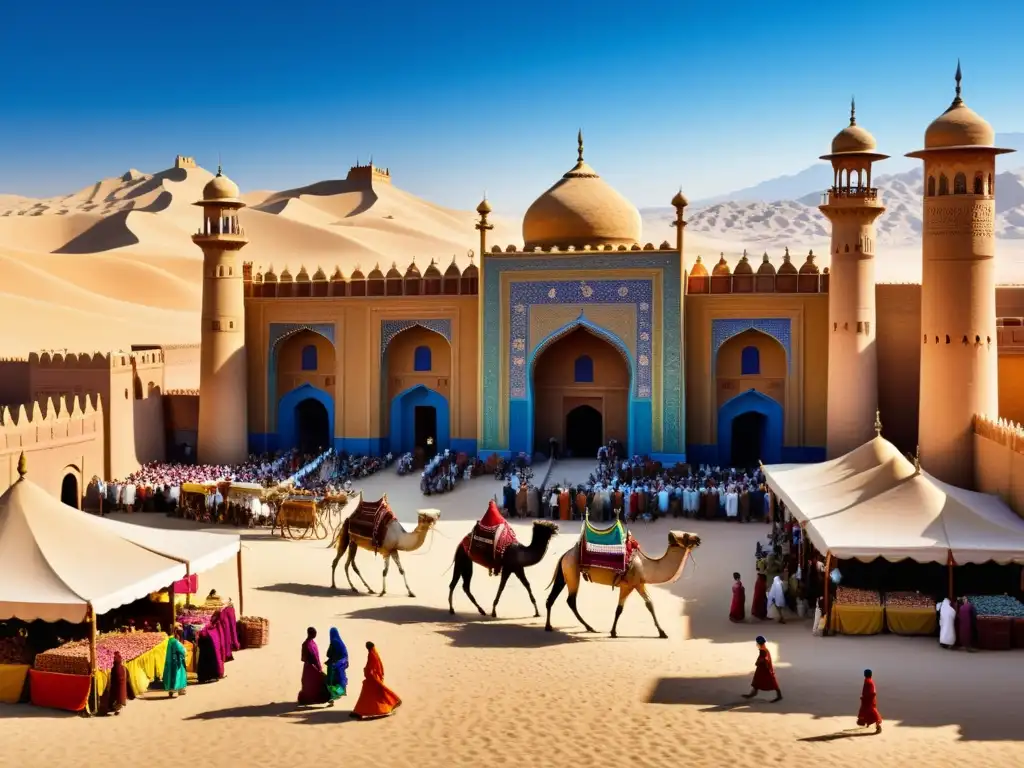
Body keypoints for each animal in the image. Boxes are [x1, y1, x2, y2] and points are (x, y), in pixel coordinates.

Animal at [544, 532, 704, 638]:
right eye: (686, 535)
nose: (698, 538)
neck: (646, 565)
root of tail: (565, 555)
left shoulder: (639, 584)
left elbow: (649, 604)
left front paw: (662, 632)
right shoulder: (627, 585)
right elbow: (619, 609)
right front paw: (613, 632)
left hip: (565, 573)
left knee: (553, 598)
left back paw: (550, 626)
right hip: (572, 571)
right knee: (571, 600)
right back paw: (588, 627)